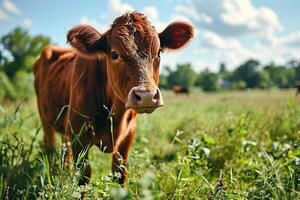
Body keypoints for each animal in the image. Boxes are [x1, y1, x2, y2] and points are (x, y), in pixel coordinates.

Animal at [33, 11, 195, 186]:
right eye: (114, 54)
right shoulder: (79, 133)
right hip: (46, 121)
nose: (146, 96)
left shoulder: (128, 134)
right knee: (50, 147)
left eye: (158, 52)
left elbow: (119, 174)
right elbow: (84, 175)